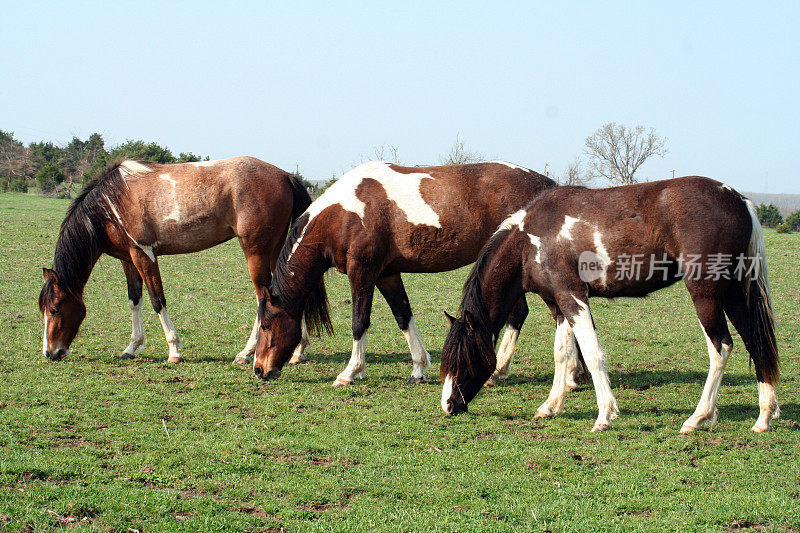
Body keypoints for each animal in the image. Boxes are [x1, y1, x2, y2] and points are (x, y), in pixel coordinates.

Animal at [39, 157, 312, 362]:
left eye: (55, 308)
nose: (50, 352)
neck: (112, 204)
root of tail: (285, 175)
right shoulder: (128, 259)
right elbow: (134, 300)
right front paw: (131, 348)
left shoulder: (145, 255)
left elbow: (157, 300)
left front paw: (174, 350)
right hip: (275, 249)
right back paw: (297, 351)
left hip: (256, 252)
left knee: (263, 296)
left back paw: (246, 353)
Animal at [255, 160, 556, 384]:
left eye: (267, 325)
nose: (259, 369)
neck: (343, 214)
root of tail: (545, 185)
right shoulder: (386, 275)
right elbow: (403, 316)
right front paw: (419, 368)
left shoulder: (361, 272)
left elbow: (359, 322)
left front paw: (350, 372)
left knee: (520, 314)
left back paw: (498, 371)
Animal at [440, 178, 780, 432]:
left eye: (461, 359)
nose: (448, 406)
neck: (530, 239)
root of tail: (738, 199)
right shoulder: (558, 304)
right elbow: (562, 354)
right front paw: (550, 406)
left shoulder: (573, 296)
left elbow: (591, 355)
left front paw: (604, 415)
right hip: (734, 293)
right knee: (755, 342)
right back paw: (764, 416)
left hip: (706, 295)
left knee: (721, 347)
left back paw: (697, 418)